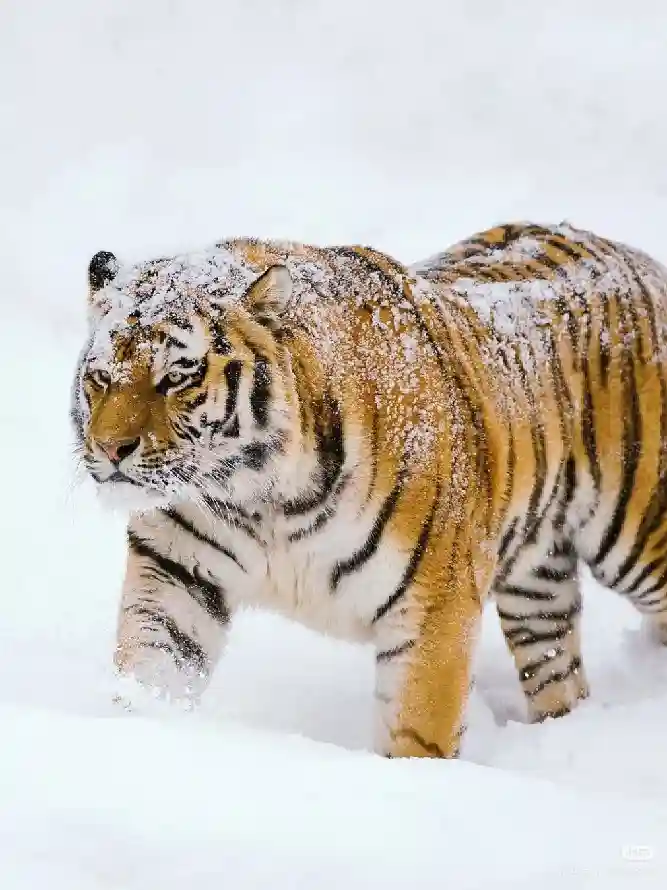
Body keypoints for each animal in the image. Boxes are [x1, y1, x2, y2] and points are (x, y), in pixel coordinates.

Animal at [70, 220, 667, 759]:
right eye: (100, 377)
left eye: (177, 377)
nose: (110, 449)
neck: (258, 498)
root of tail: (635, 258)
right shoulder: (176, 571)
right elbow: (151, 671)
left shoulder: (435, 607)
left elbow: (418, 734)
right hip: (535, 584)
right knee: (558, 671)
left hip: (637, 539)